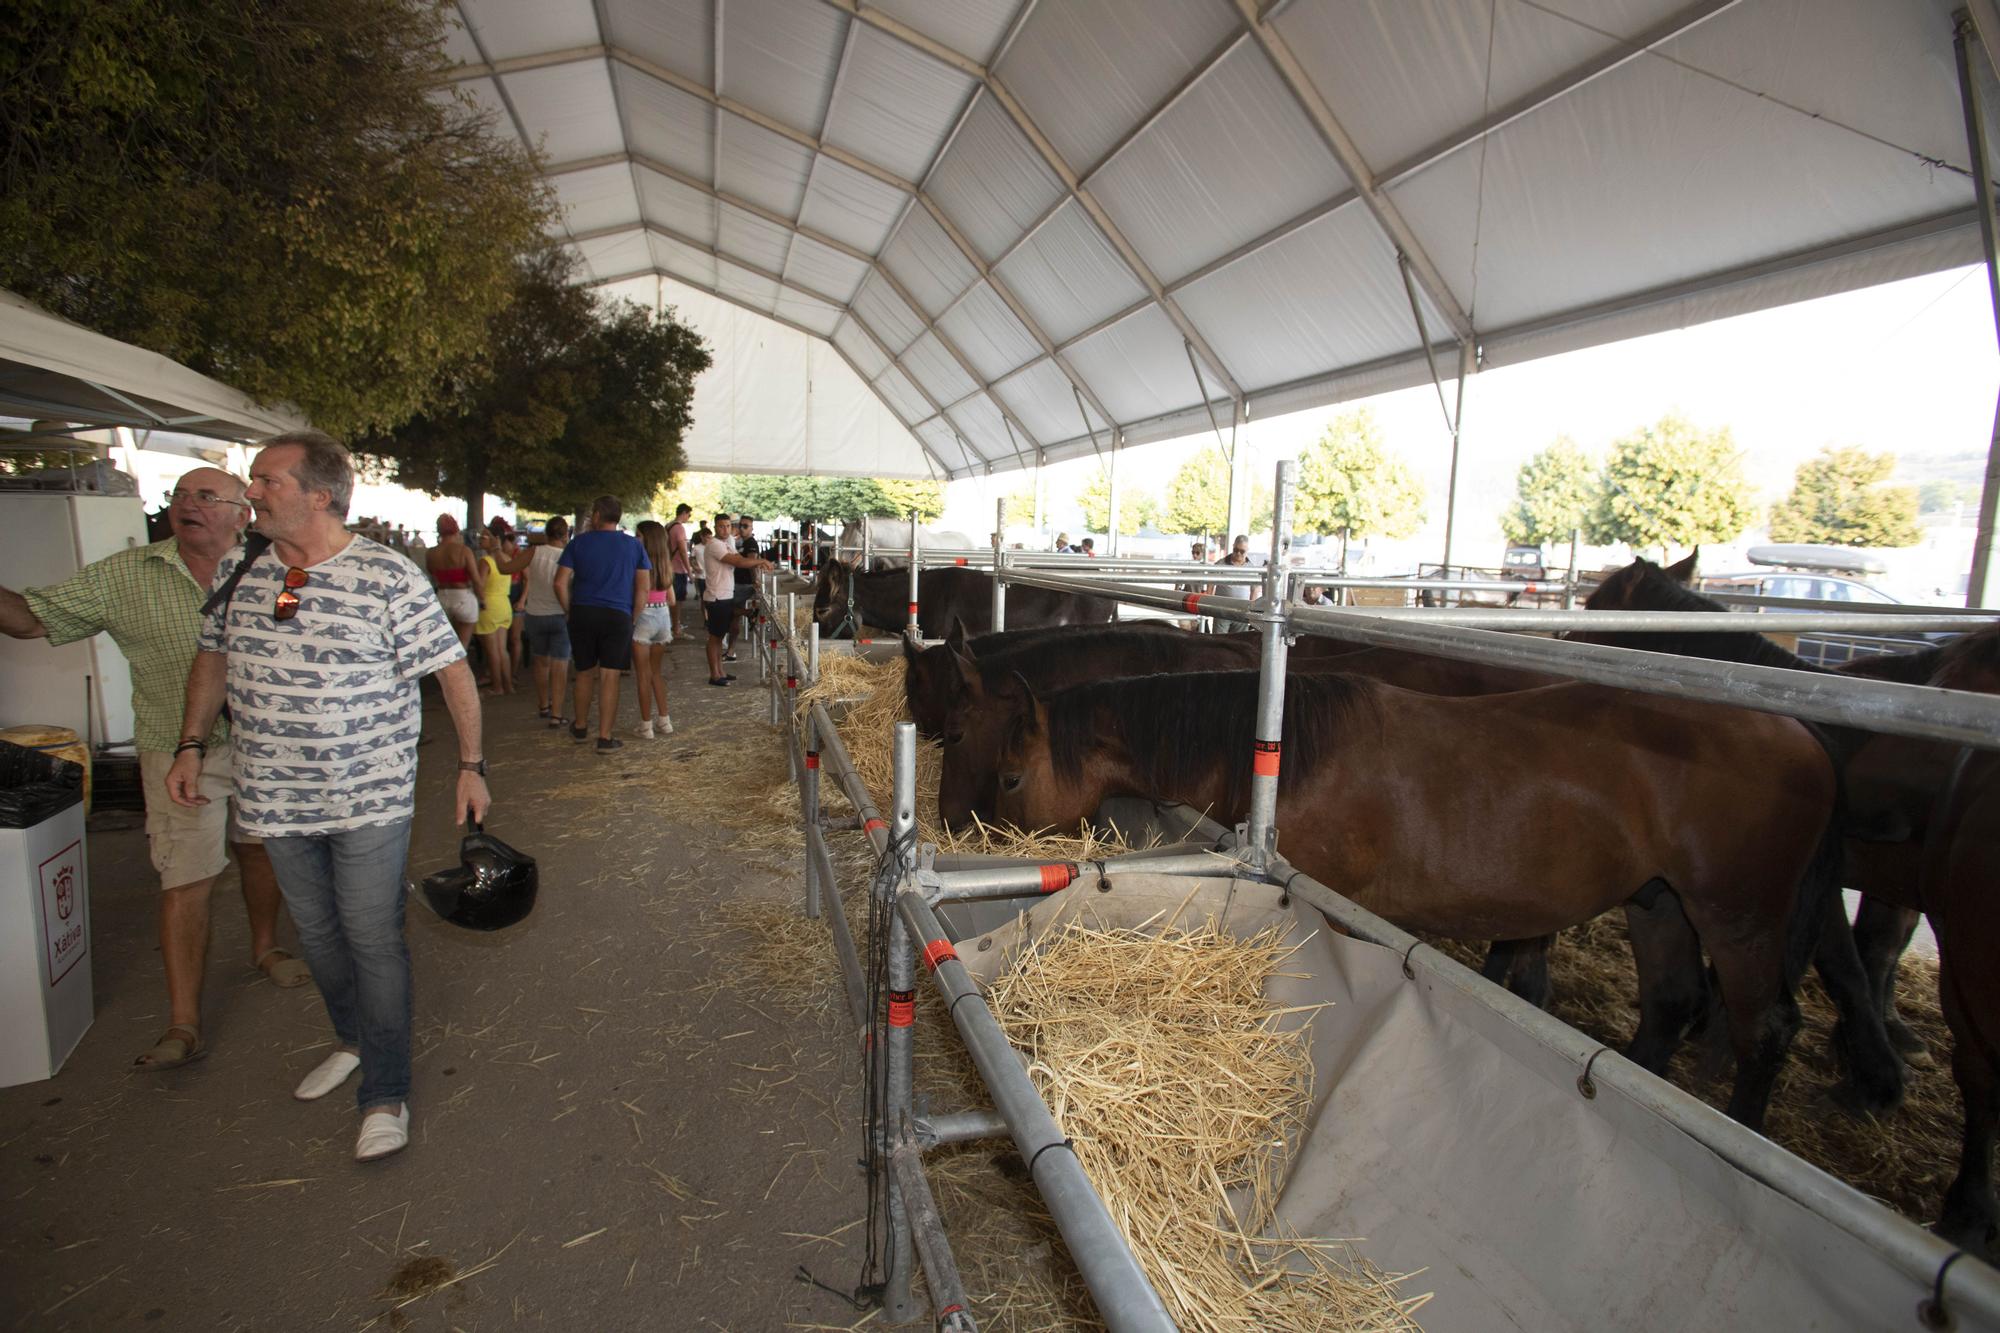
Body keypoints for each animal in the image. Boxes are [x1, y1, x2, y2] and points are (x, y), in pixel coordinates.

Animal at [996, 668, 1840, 1128]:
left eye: (1011, 773)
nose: (977, 826)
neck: (1283, 756)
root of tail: (1804, 737)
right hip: (1659, 904)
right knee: (1669, 1004)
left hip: (1738, 920)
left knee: (1765, 1031)